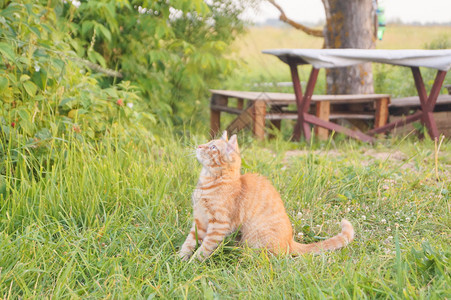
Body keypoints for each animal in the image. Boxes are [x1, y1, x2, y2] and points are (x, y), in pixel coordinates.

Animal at [179, 131, 354, 260]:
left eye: (213, 147)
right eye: (209, 142)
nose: (199, 146)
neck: (208, 183)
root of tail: (290, 241)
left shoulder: (219, 225)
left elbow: (205, 248)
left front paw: (192, 264)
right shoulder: (200, 221)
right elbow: (189, 242)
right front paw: (179, 259)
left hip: (253, 241)